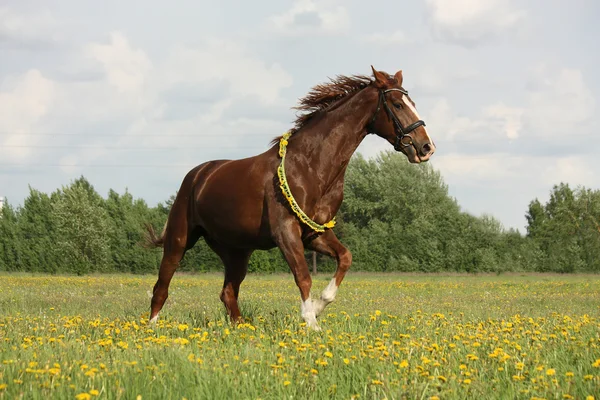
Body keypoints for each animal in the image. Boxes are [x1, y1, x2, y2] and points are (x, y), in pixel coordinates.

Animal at [145, 65, 436, 330]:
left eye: (412, 103)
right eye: (397, 104)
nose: (425, 147)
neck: (309, 166)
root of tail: (198, 175)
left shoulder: (315, 233)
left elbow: (345, 258)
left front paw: (318, 307)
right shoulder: (286, 232)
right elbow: (303, 276)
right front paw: (311, 322)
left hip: (237, 251)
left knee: (228, 292)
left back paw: (241, 328)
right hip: (179, 240)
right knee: (162, 285)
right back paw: (152, 328)